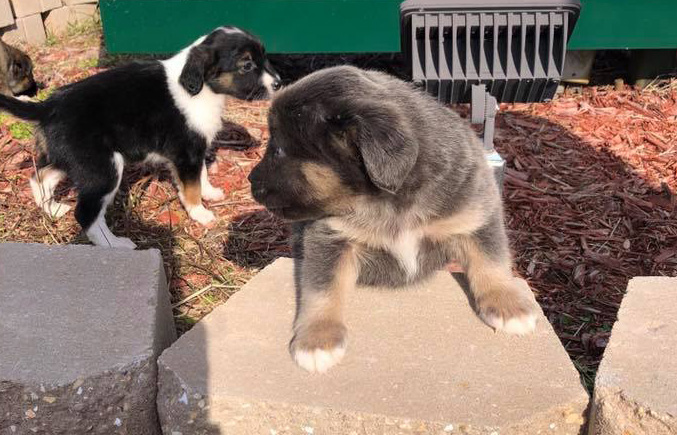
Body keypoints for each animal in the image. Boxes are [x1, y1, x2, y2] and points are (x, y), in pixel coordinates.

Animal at [0, 26, 280, 249]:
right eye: (247, 65)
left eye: (264, 57)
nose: (278, 83)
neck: (200, 87)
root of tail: (48, 106)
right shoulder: (186, 153)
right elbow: (191, 187)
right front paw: (200, 213)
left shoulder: (193, 150)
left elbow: (200, 175)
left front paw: (209, 193)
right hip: (103, 170)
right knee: (85, 213)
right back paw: (115, 244)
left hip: (74, 161)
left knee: (40, 178)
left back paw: (52, 210)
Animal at [248, 66, 540, 373]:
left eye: (278, 150)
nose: (250, 181)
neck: (387, 201)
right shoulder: (329, 238)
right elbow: (322, 289)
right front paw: (318, 340)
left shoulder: (476, 216)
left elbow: (491, 263)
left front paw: (509, 305)